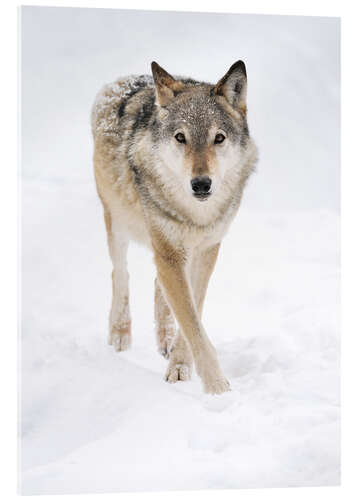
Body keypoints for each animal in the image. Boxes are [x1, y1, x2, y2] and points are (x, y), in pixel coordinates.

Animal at [91, 60, 256, 392]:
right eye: (181, 137)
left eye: (219, 138)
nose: (201, 184)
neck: (195, 214)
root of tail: (124, 80)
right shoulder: (168, 251)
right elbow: (191, 321)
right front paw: (216, 387)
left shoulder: (207, 249)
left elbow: (193, 311)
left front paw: (180, 363)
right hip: (118, 222)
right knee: (120, 272)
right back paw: (120, 333)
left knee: (158, 284)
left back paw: (164, 341)